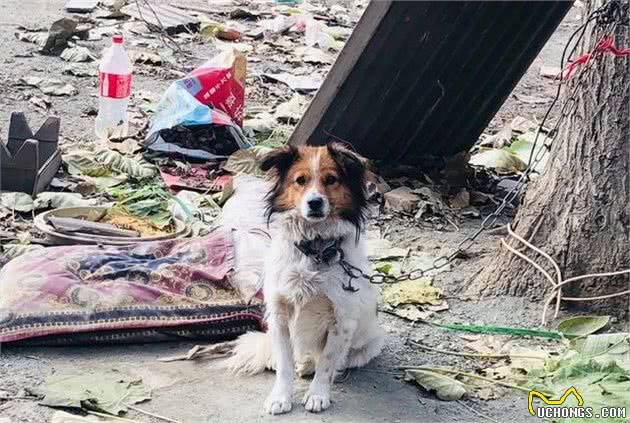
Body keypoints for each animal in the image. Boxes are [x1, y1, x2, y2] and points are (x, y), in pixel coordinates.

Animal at [222, 142, 386, 414]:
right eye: (300, 180)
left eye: (331, 180)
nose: (315, 203)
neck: (315, 248)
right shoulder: (279, 314)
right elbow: (285, 364)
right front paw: (280, 397)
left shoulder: (341, 321)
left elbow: (327, 363)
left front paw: (318, 395)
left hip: (371, 342)